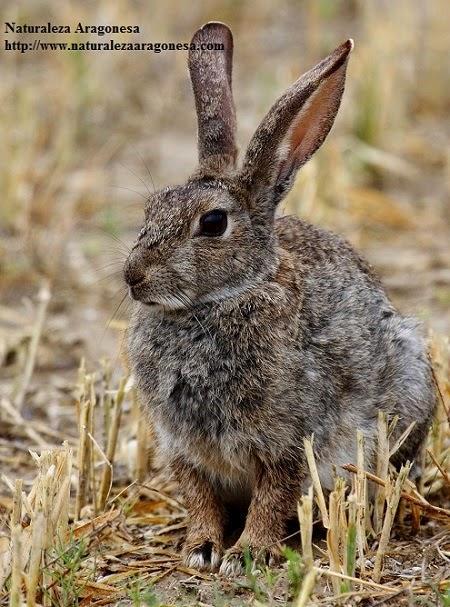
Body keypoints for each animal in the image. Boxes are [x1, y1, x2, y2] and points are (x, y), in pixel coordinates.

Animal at [123, 22, 436, 576]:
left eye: (213, 223)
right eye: (152, 208)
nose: (132, 276)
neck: (224, 297)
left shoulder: (290, 442)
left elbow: (274, 496)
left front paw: (247, 553)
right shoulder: (184, 449)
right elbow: (199, 497)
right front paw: (201, 549)